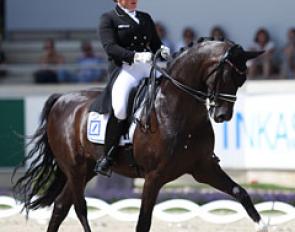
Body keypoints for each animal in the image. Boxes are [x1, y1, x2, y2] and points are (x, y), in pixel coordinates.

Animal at [12, 38, 268, 232]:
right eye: (227, 76)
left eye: (243, 79)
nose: (223, 115)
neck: (177, 108)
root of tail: (61, 99)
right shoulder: (154, 176)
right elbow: (143, 223)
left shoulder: (203, 167)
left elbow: (240, 192)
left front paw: (262, 224)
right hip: (74, 168)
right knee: (79, 207)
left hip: (87, 169)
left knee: (60, 207)